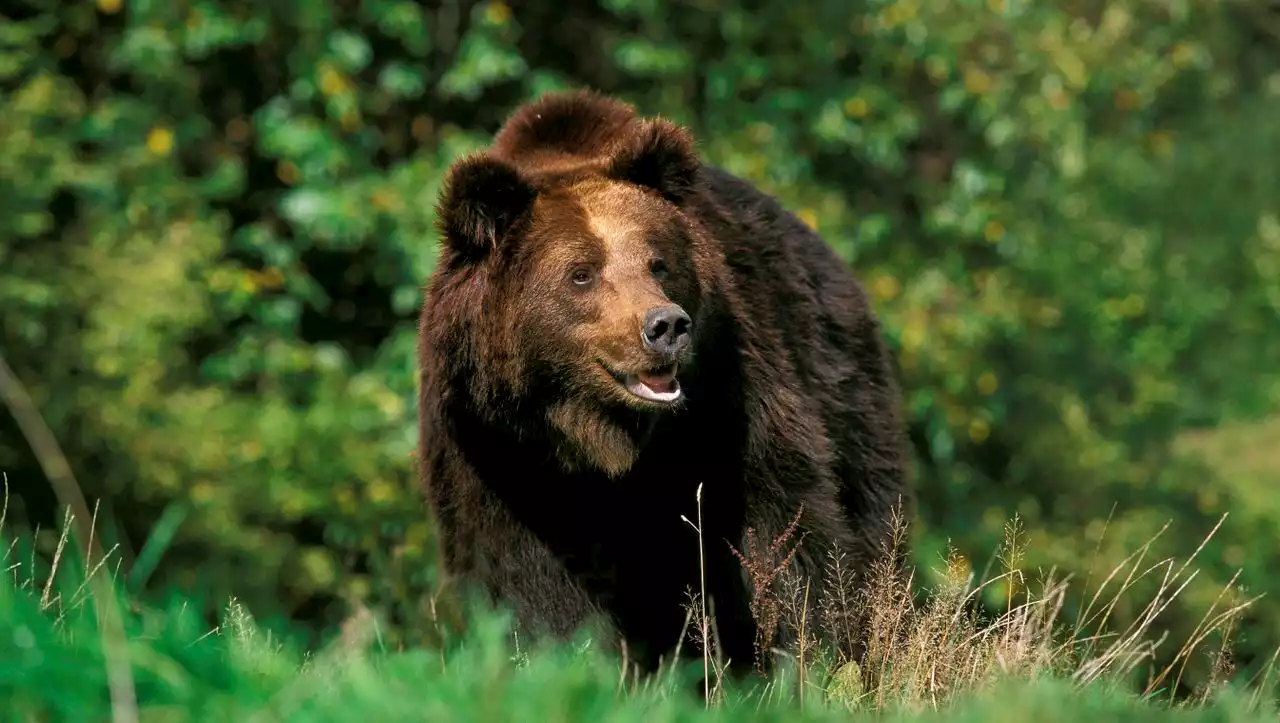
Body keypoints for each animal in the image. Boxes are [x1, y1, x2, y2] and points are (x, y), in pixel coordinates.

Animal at [417, 90, 911, 675]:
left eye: (658, 263)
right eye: (581, 273)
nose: (666, 326)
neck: (598, 435)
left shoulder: (729, 394)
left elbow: (784, 527)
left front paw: (809, 653)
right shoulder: (490, 443)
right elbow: (523, 574)